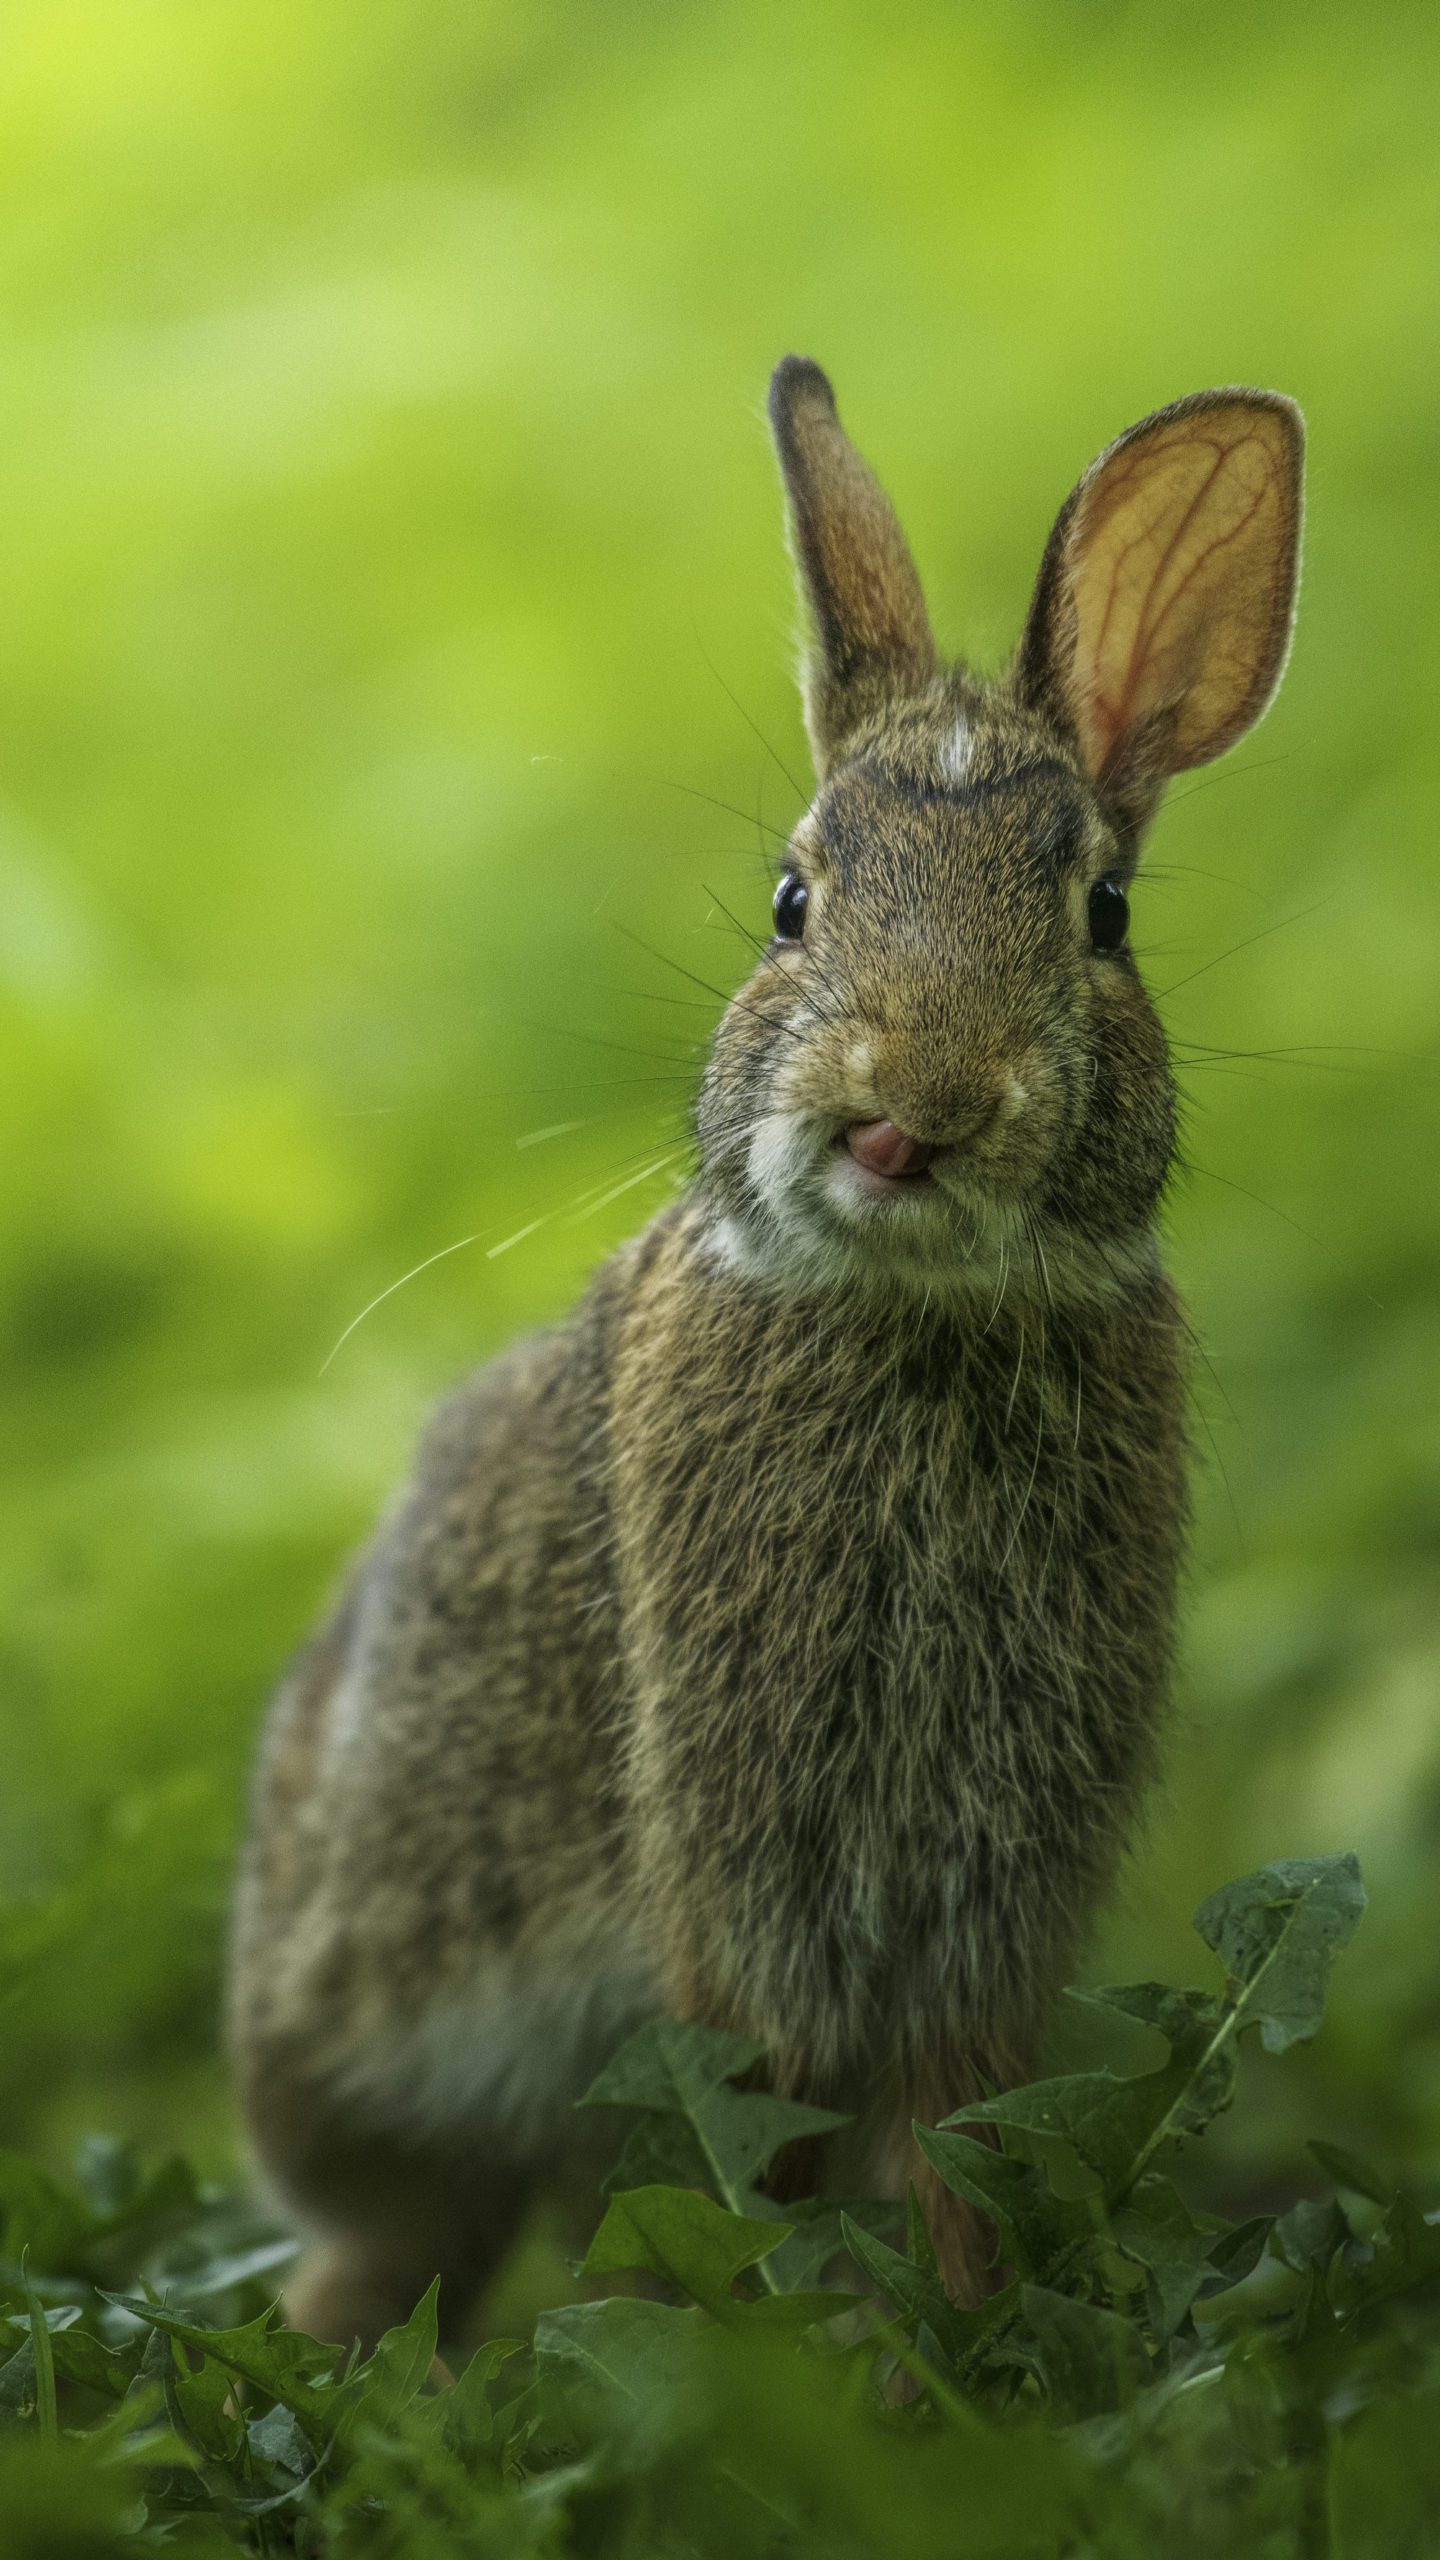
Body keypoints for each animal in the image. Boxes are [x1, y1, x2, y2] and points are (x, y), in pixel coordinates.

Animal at [228, 356, 1304, 2343]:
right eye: (794, 903)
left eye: (1104, 917)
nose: (911, 1109)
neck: (916, 1319)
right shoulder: (751, 1883)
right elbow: (770, 2130)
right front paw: (782, 2354)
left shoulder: (983, 1904)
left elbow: (956, 2134)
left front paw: (958, 2345)